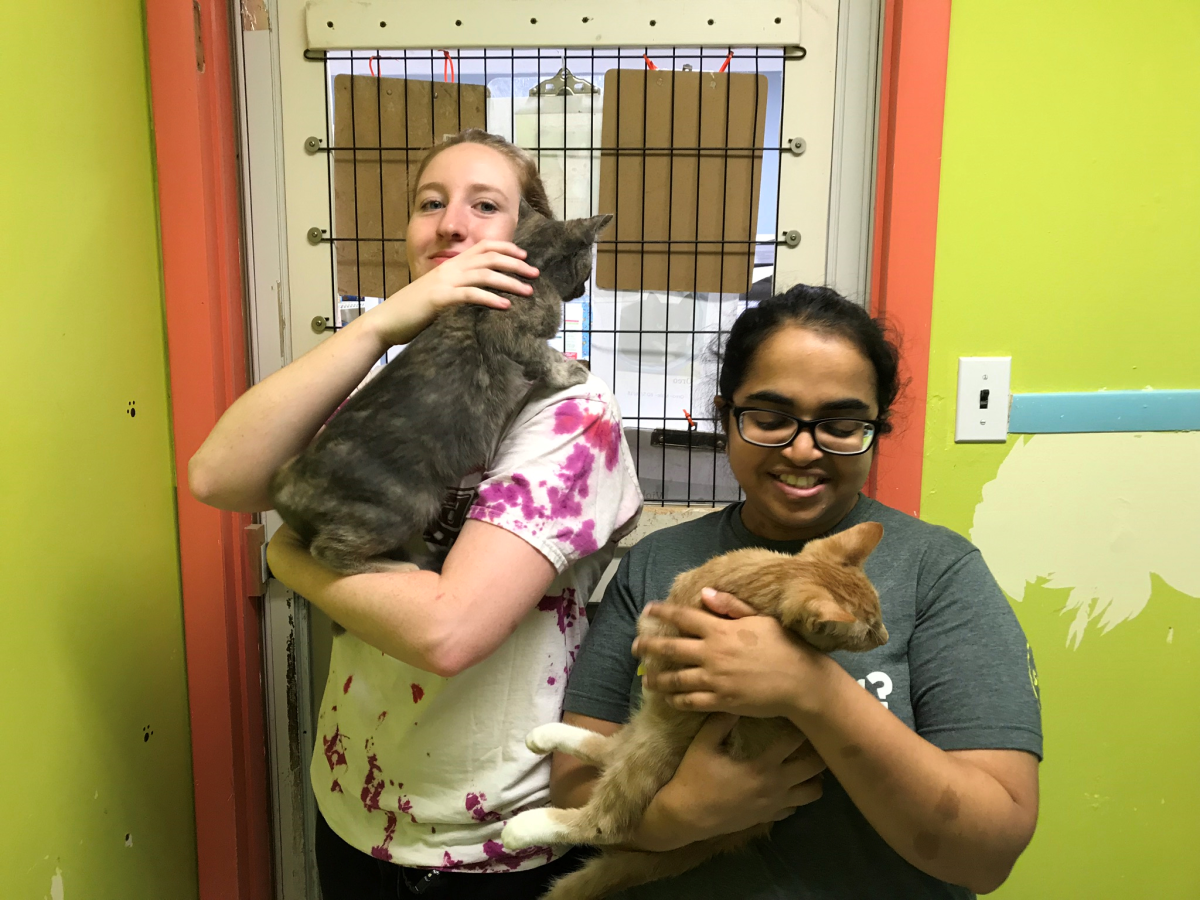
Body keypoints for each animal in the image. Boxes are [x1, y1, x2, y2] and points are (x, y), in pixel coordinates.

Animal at [501, 520, 888, 900]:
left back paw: (525, 827)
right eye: (870, 628)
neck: (762, 574)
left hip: (659, 743)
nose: (884, 636)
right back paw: (545, 735)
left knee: (607, 820)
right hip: (655, 732)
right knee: (612, 753)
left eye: (878, 618)